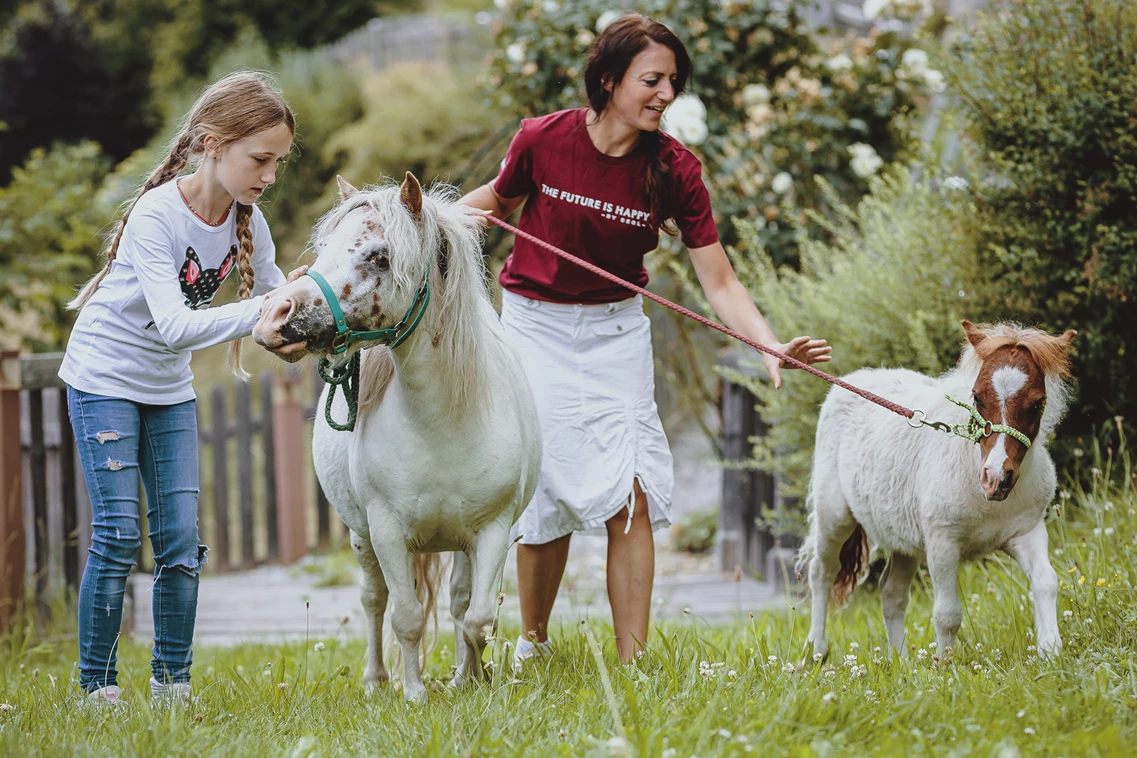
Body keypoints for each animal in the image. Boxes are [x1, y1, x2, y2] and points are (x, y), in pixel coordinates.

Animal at [253, 175, 541, 704]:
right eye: (323, 248)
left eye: (379, 255)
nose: (274, 315)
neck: (442, 423)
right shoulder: (386, 530)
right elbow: (404, 618)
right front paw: (413, 695)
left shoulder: (493, 530)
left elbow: (477, 618)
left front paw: (473, 681)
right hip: (362, 536)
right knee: (374, 600)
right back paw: (375, 680)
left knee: (458, 603)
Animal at [800, 318, 1073, 659]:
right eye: (977, 397)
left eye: (1038, 403)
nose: (996, 478)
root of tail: (848, 382)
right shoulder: (942, 542)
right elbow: (947, 613)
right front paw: (945, 666)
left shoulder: (1026, 531)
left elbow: (1046, 581)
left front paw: (1051, 652)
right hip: (834, 517)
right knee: (821, 573)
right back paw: (816, 652)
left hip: (903, 538)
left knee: (891, 591)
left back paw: (901, 662)